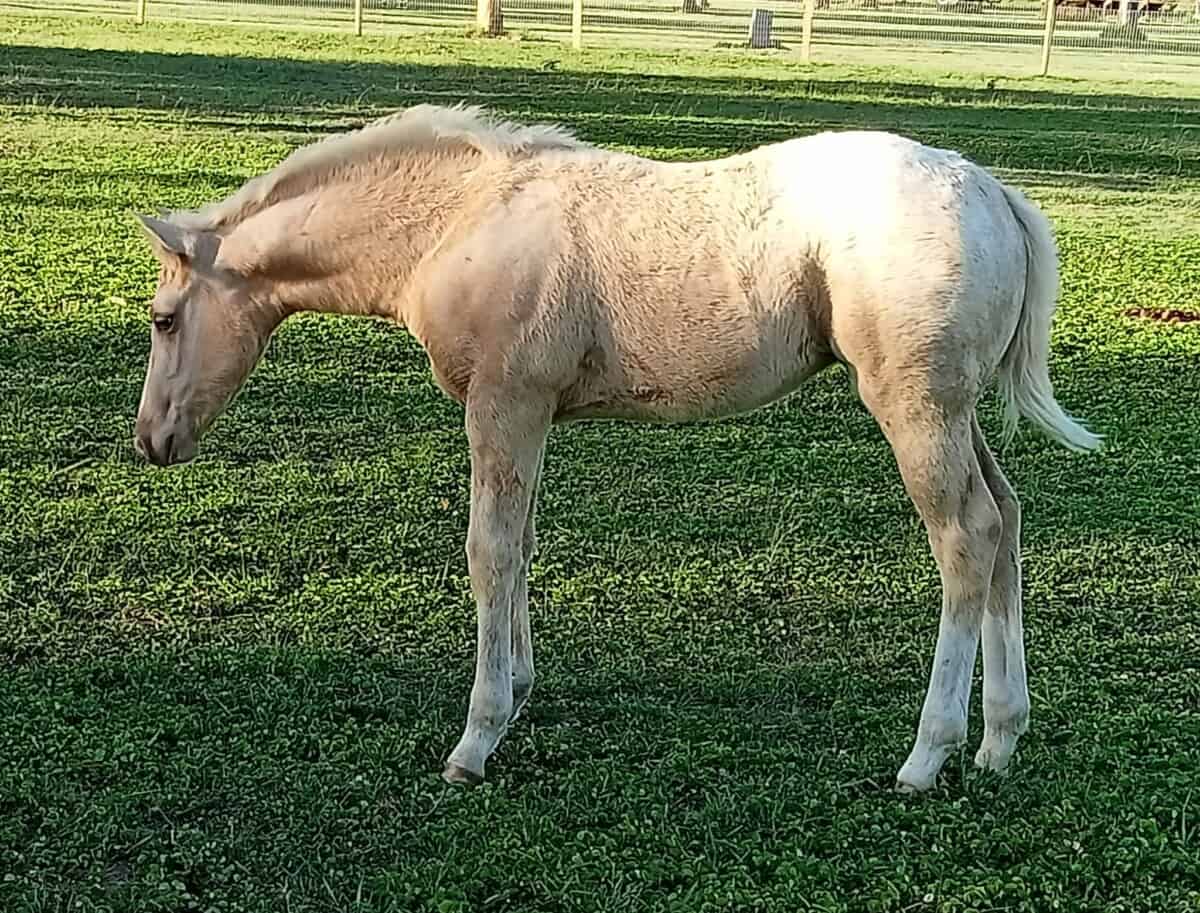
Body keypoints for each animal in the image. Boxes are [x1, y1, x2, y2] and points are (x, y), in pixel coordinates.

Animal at [131, 104, 1099, 791]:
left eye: (164, 318)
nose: (152, 441)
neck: (459, 223)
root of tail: (996, 194)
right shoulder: (529, 418)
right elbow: (521, 546)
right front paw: (519, 691)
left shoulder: (505, 405)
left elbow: (489, 551)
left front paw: (476, 737)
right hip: (957, 411)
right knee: (1007, 519)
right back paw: (999, 740)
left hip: (914, 407)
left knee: (965, 539)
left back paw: (928, 756)